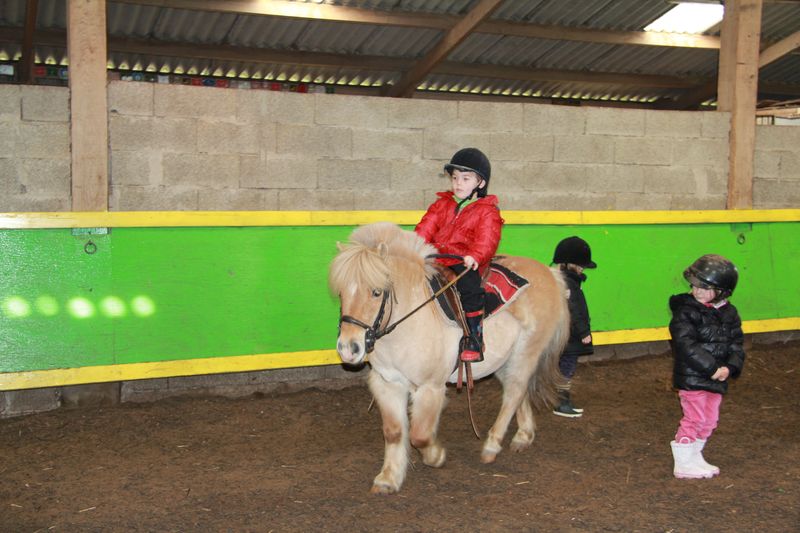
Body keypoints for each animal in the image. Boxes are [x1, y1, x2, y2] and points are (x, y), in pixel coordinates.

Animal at [329, 222, 569, 494]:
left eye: (376, 292)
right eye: (341, 293)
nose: (348, 348)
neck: (410, 319)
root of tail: (550, 274)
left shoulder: (430, 387)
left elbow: (420, 435)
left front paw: (436, 456)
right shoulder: (387, 383)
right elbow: (394, 432)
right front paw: (388, 478)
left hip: (526, 353)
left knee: (514, 393)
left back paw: (492, 445)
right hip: (503, 361)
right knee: (518, 392)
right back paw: (523, 436)